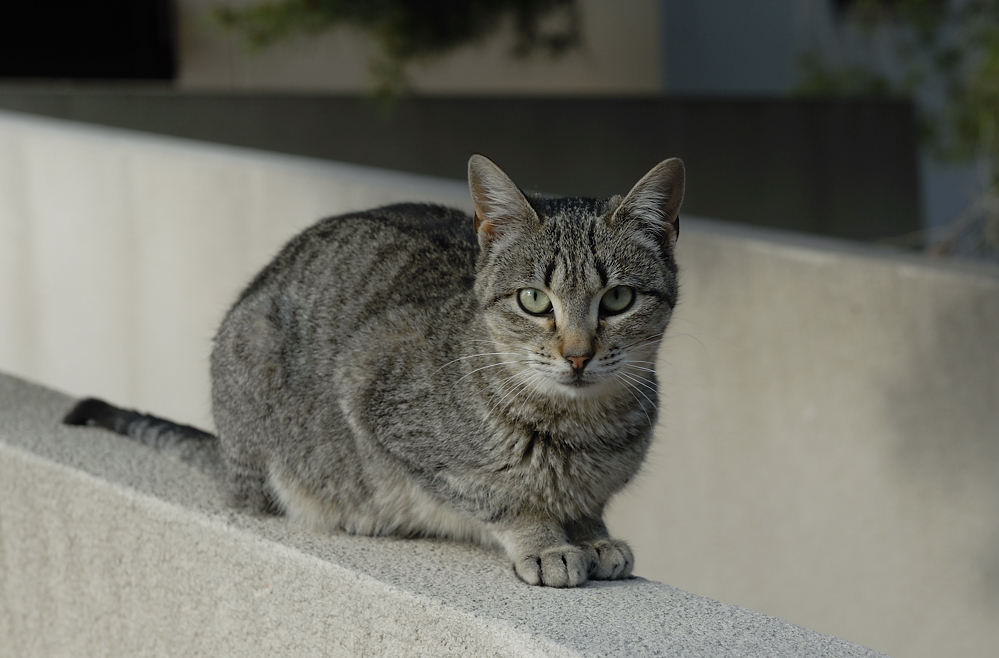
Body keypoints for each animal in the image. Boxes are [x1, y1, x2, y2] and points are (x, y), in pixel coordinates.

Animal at [64, 155, 688, 588]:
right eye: (534, 300)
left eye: (619, 299)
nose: (578, 354)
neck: (580, 429)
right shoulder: (373, 396)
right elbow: (499, 495)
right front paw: (546, 542)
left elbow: (587, 504)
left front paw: (592, 535)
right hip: (255, 366)